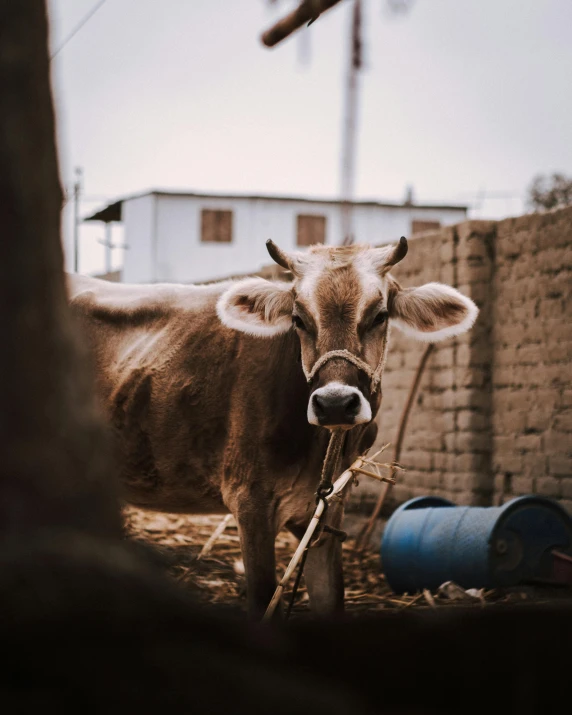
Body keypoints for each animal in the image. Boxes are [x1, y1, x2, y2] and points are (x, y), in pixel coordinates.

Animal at [68, 238, 478, 620]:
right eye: (298, 319)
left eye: (380, 316)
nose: (334, 403)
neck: (320, 450)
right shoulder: (251, 504)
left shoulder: (326, 518)